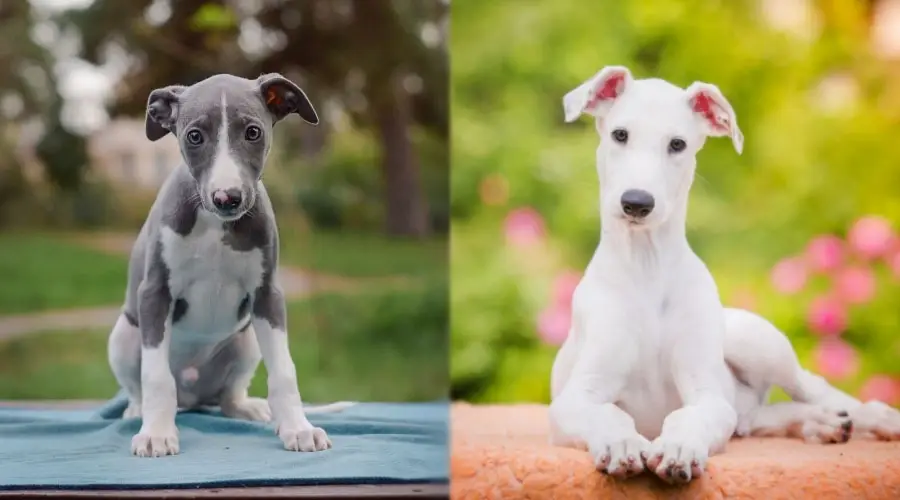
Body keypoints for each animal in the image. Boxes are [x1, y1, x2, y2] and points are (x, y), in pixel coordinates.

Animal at [108, 72, 352, 458]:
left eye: (253, 132)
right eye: (194, 136)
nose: (227, 198)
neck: (214, 224)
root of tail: (193, 398)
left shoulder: (268, 294)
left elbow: (284, 371)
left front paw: (298, 429)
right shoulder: (154, 293)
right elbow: (156, 377)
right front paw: (157, 434)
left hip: (246, 339)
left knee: (228, 396)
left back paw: (248, 408)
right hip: (124, 334)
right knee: (139, 385)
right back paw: (137, 411)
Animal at [544, 66, 900, 484]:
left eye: (677, 144)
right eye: (619, 134)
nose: (637, 203)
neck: (647, 265)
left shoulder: (708, 394)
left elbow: (690, 417)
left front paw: (679, 449)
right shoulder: (576, 396)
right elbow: (606, 414)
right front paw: (621, 444)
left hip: (759, 343)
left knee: (814, 386)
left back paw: (874, 417)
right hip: (748, 401)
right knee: (760, 417)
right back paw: (823, 423)